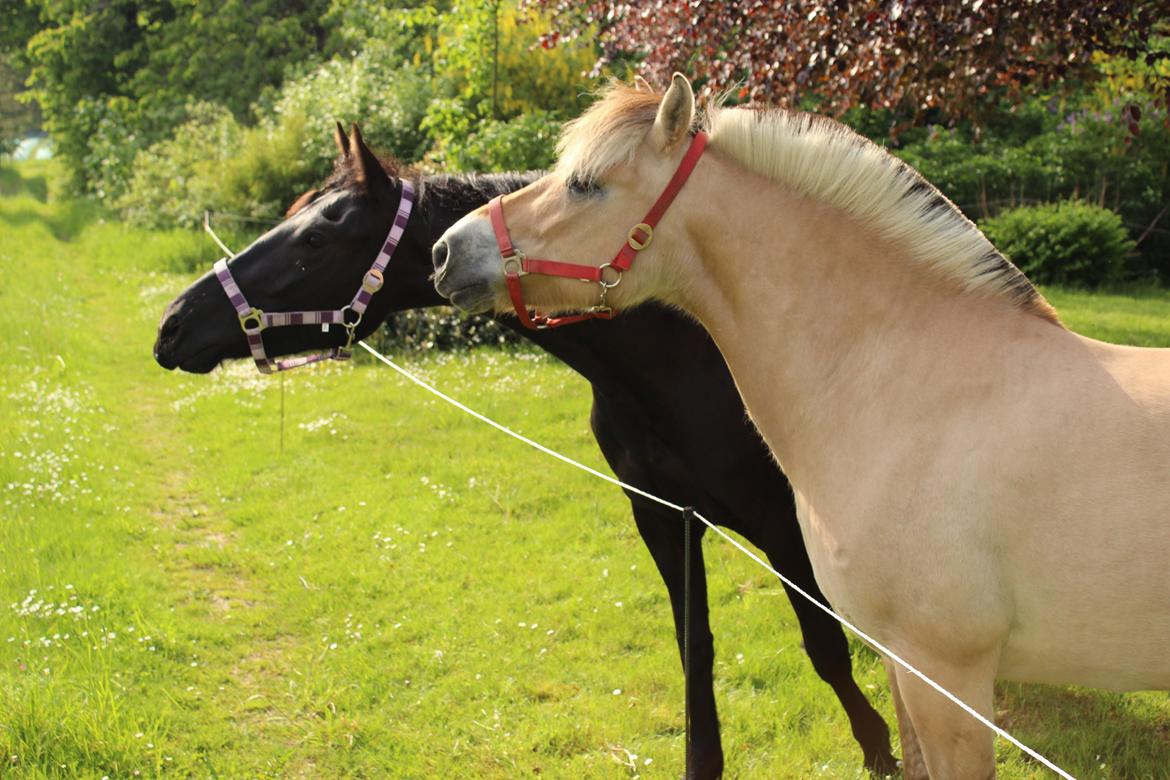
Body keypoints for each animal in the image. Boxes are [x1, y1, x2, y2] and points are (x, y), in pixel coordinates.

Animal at [148, 125, 893, 776]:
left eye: (313, 237)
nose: (173, 326)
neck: (682, 357)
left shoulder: (780, 521)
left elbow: (826, 646)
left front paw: (881, 751)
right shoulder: (662, 518)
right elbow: (697, 651)